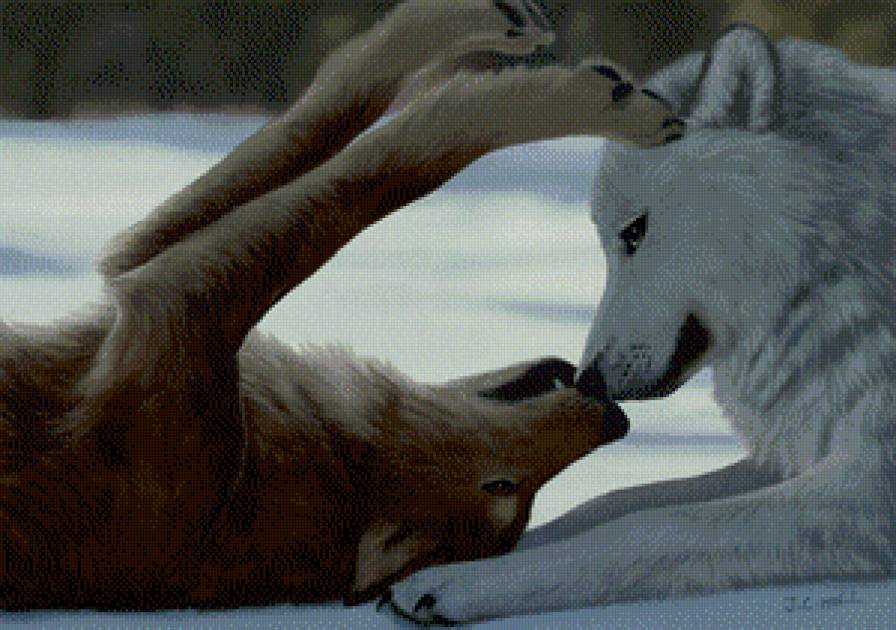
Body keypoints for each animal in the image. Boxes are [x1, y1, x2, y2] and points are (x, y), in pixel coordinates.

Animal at [0, 0, 683, 609]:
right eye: (501, 484)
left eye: (516, 494)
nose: (616, 419)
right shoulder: (156, 295)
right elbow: (361, 145)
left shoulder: (168, 298)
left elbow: (387, 171)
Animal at [387, 23, 896, 624]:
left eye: (634, 231)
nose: (587, 380)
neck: (833, 270)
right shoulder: (801, 451)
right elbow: (617, 500)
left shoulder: (870, 482)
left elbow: (652, 526)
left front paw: (459, 583)